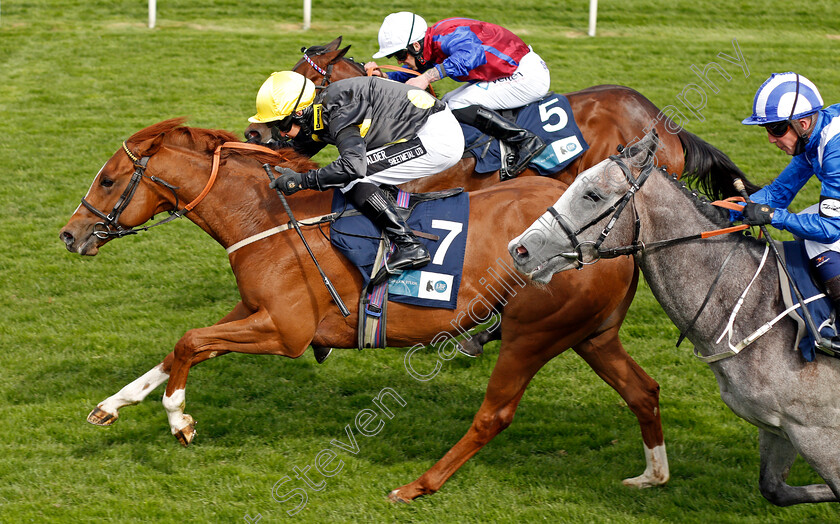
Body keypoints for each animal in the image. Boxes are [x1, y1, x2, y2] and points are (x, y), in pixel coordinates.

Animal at [59, 116, 668, 502]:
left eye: (108, 180)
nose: (69, 234)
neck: (265, 217)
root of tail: (622, 230)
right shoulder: (253, 309)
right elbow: (178, 349)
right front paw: (112, 405)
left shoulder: (286, 331)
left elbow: (189, 341)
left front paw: (179, 419)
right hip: (591, 334)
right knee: (643, 390)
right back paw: (653, 475)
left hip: (531, 333)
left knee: (494, 415)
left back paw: (418, 485)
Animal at [506, 129, 840, 506]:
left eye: (593, 195)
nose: (519, 249)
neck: (753, 307)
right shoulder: (780, 427)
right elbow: (775, 489)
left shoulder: (818, 433)